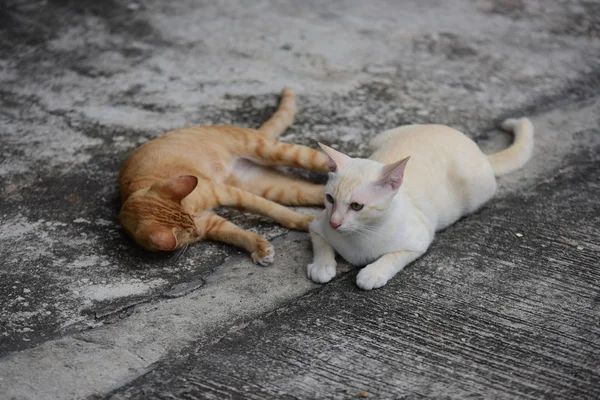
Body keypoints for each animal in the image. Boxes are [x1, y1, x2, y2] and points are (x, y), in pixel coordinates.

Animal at [119, 86, 328, 264]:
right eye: (191, 233)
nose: (198, 232)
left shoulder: (228, 193)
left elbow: (272, 209)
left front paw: (302, 220)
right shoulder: (212, 223)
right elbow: (236, 233)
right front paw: (258, 247)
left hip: (275, 151)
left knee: (326, 159)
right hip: (274, 188)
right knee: (316, 192)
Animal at [310, 119, 536, 290]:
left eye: (357, 206)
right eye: (330, 199)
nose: (335, 223)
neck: (360, 235)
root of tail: (475, 147)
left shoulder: (419, 240)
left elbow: (392, 257)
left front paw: (373, 272)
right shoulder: (317, 223)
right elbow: (321, 244)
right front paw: (322, 266)